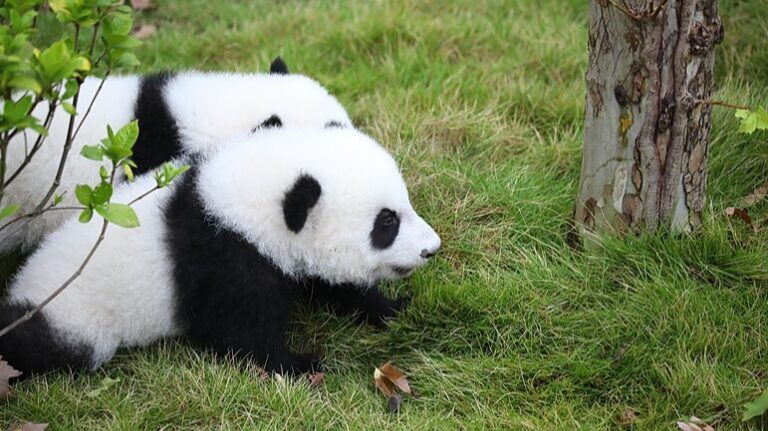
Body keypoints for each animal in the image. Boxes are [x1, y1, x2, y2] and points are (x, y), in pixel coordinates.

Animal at [0, 127, 441, 376]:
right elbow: (238, 332)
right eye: (386, 223)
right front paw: (302, 365)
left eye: (402, 207)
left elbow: (331, 285)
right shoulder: (224, 259)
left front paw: (392, 309)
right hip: (74, 316)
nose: (431, 249)